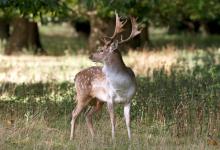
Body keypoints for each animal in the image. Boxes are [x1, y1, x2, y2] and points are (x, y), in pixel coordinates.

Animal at [70, 12, 143, 140]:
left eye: (102, 50)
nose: (90, 55)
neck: (122, 86)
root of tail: (76, 76)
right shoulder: (109, 98)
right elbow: (113, 120)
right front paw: (113, 139)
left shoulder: (129, 99)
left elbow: (128, 121)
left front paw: (131, 140)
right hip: (82, 95)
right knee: (74, 113)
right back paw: (71, 138)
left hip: (97, 100)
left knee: (87, 115)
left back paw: (94, 138)